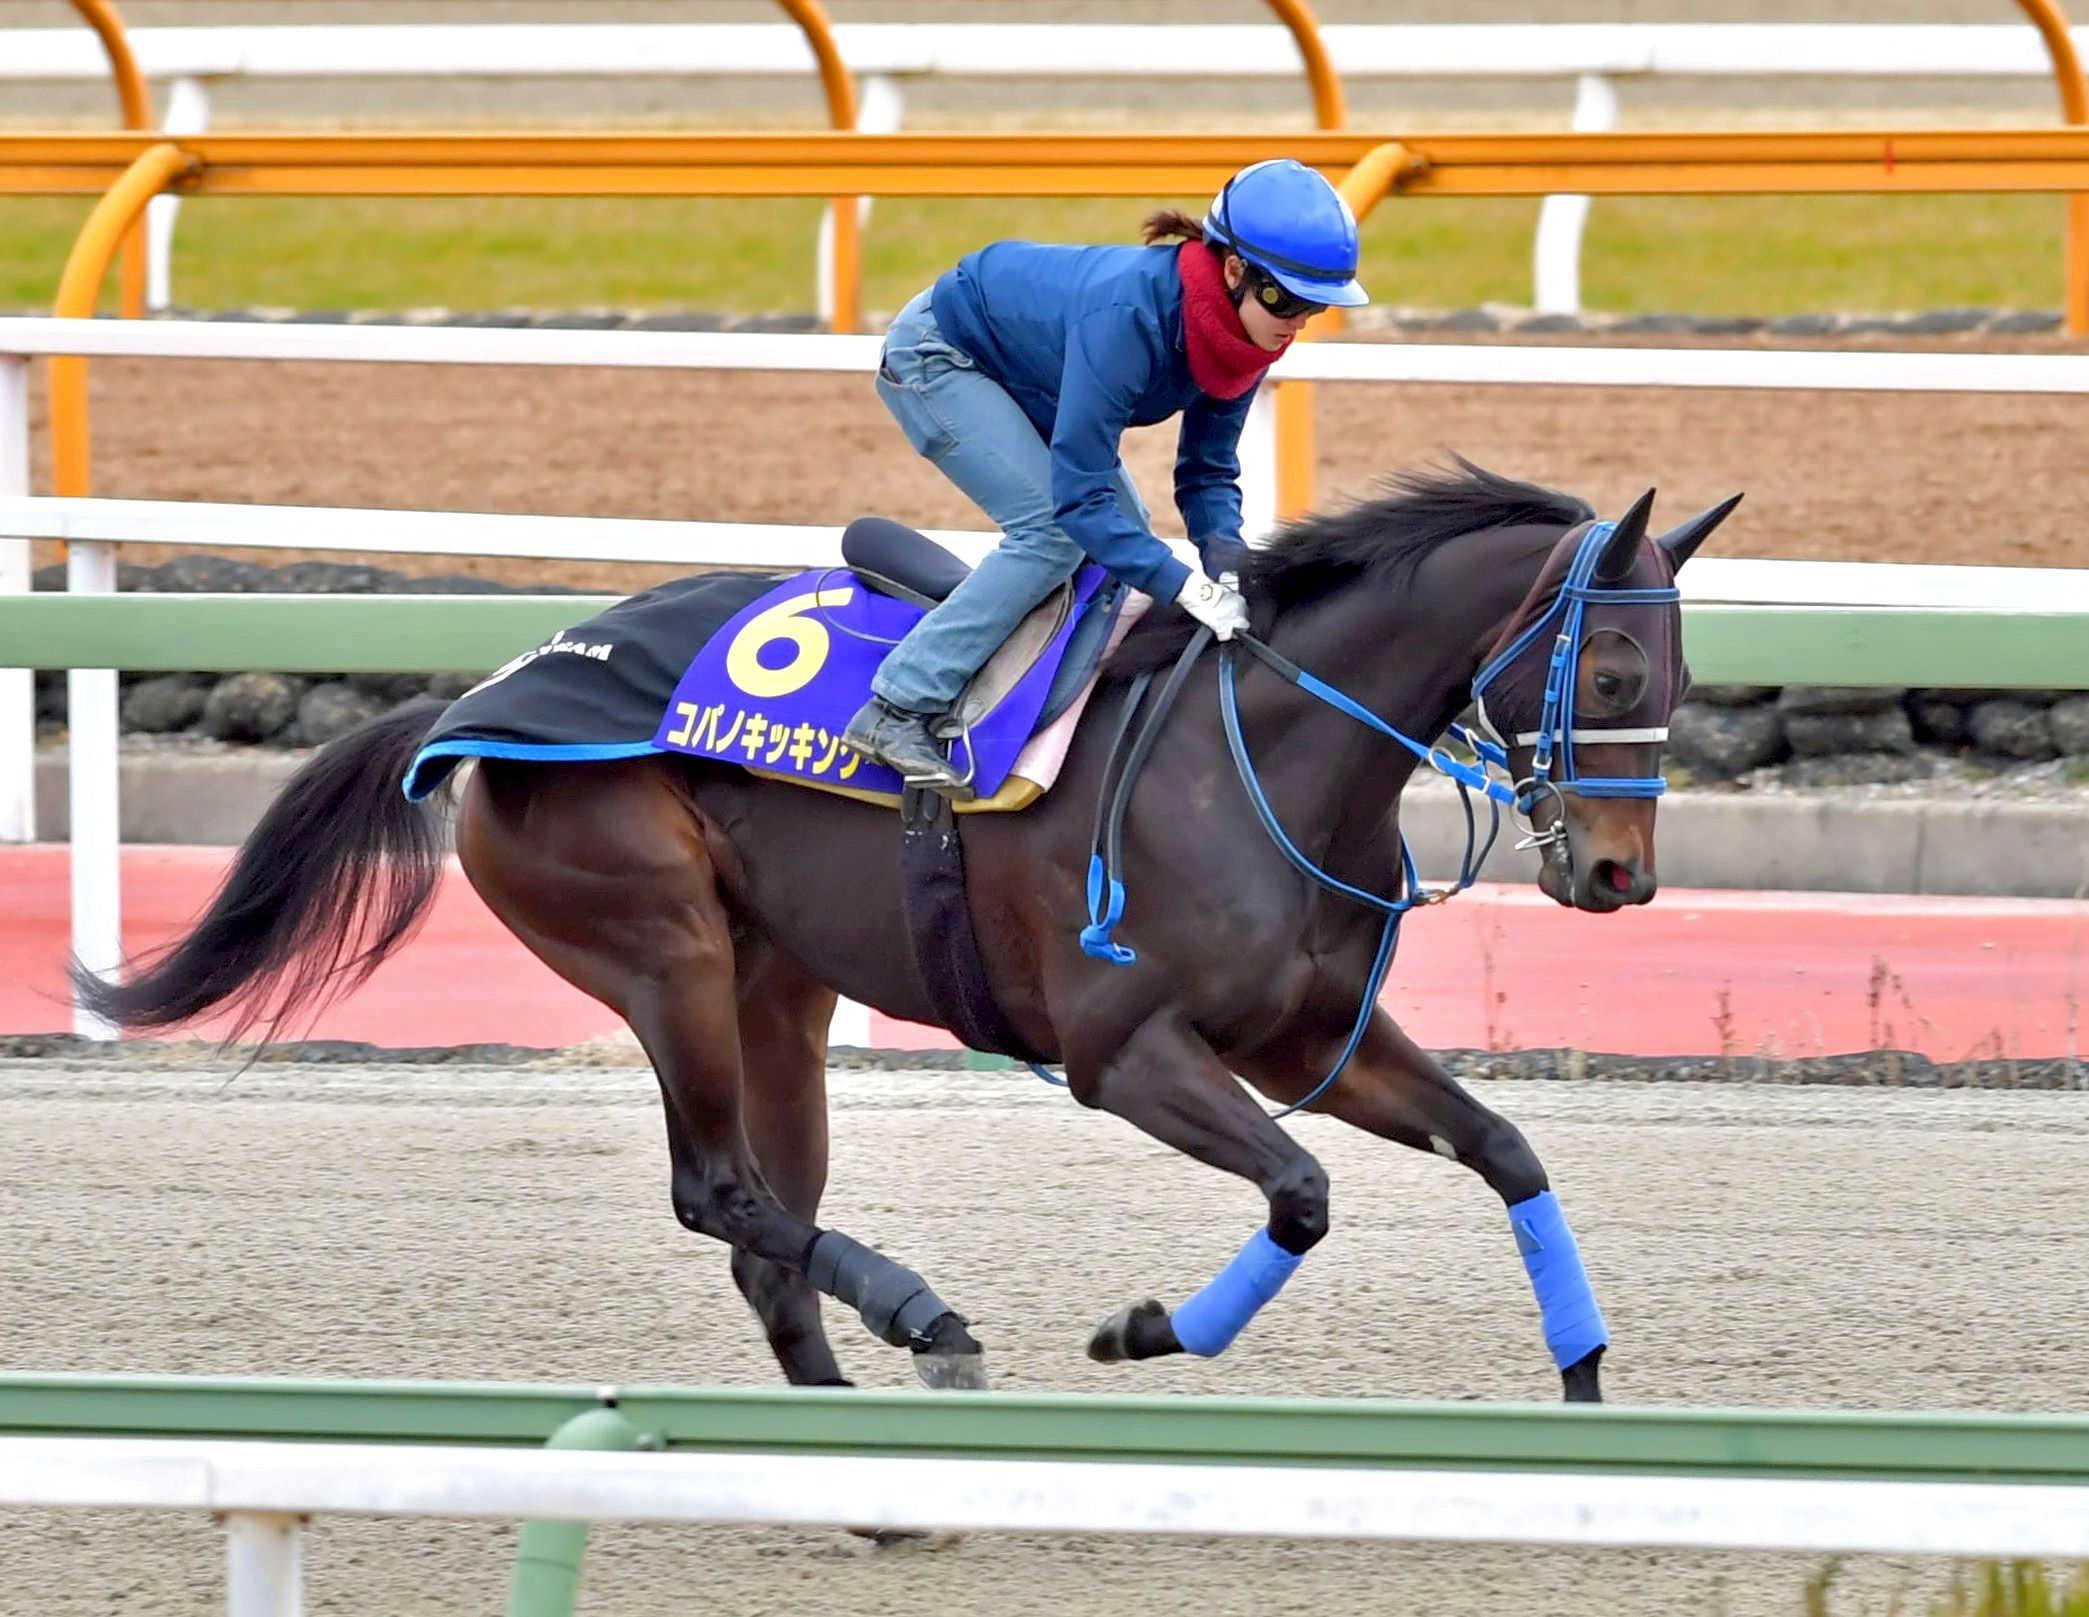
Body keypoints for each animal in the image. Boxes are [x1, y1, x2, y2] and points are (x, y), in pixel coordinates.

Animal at [73, 459, 1738, 1403]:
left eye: (1684, 674)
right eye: (1610, 669)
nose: (1618, 875)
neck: (1262, 753)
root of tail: (474, 704)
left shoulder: (1313, 1034)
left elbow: (1504, 1150)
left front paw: (1585, 1374)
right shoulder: (1121, 1051)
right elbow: (1304, 1192)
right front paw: (1145, 1328)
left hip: (779, 987)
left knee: (764, 1234)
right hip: (661, 945)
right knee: (717, 1194)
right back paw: (922, 1315)